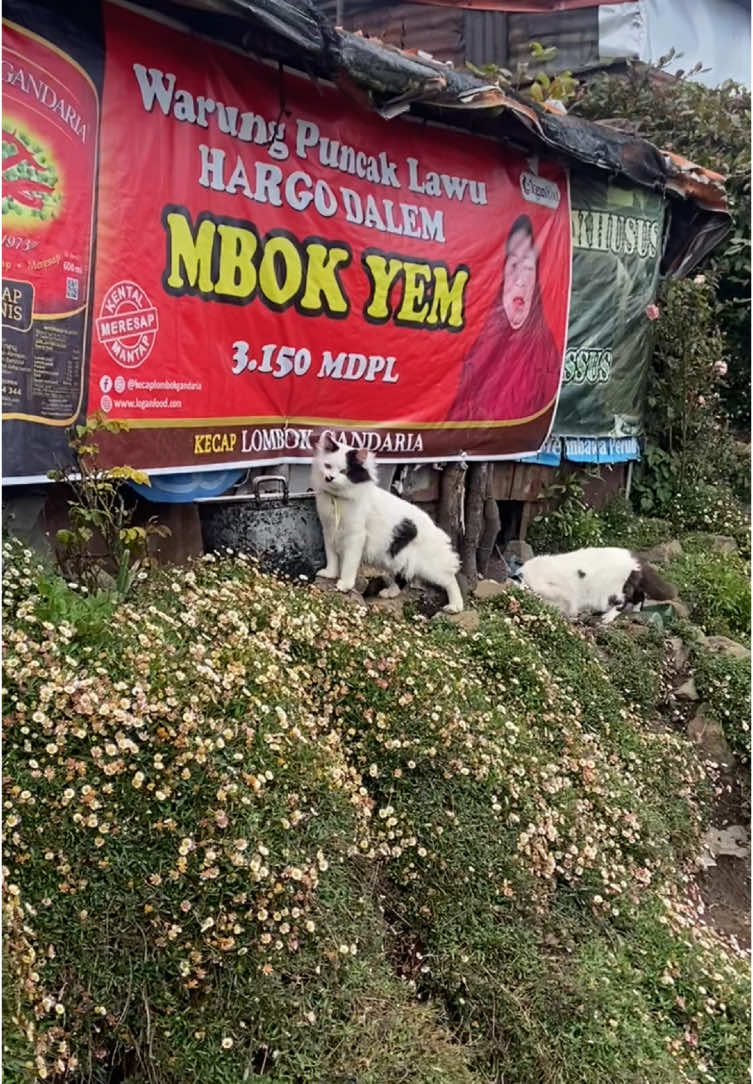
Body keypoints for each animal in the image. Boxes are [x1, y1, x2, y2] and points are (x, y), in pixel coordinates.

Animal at [307, 435, 461, 615]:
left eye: (344, 472)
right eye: (328, 466)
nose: (329, 478)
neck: (337, 499)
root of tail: (436, 528)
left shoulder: (355, 537)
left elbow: (348, 564)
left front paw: (345, 584)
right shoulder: (329, 531)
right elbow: (332, 557)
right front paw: (330, 574)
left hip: (428, 566)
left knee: (450, 579)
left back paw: (456, 606)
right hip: (393, 559)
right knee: (401, 578)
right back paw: (389, 593)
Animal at [517, 546, 676, 624]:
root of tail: (635, 559)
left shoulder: (559, 592)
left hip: (614, 591)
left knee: (623, 601)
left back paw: (607, 617)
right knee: (639, 595)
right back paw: (636, 611)